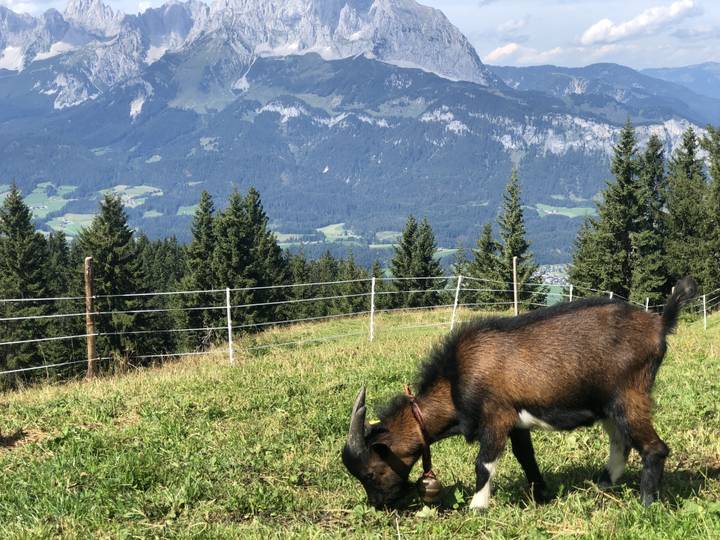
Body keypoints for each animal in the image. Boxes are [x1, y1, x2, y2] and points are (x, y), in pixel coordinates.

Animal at [342, 278, 697, 510]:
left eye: (371, 472)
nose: (378, 505)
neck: (456, 380)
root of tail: (659, 325)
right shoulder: (516, 421)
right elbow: (527, 458)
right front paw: (542, 495)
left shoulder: (496, 417)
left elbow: (483, 464)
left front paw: (477, 507)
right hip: (608, 403)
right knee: (620, 443)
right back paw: (603, 484)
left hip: (629, 395)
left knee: (654, 448)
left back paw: (647, 504)